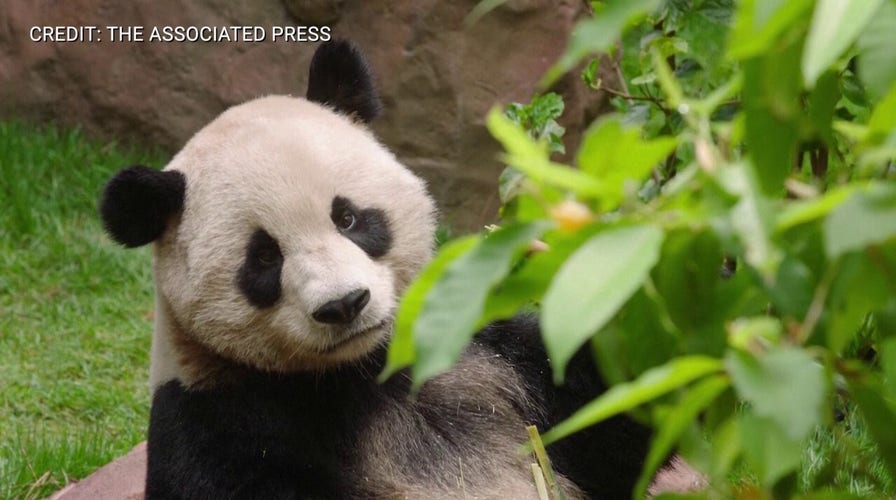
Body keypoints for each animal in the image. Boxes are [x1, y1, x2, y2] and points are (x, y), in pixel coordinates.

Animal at [100, 41, 652, 498]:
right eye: (264, 257)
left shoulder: (488, 352)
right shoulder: (217, 420)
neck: (363, 368)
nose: (344, 304)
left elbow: (612, 412)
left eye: (347, 218)